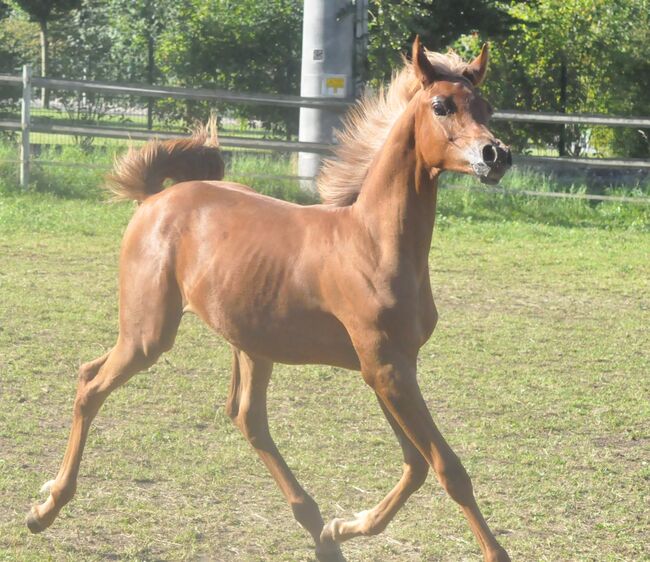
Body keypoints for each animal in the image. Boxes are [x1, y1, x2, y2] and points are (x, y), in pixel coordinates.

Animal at [25, 37, 512, 556]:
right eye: (441, 106)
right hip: (148, 333)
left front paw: (343, 526)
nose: (495, 154)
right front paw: (494, 553)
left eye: (487, 107)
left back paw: (318, 529)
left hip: (247, 342)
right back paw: (45, 509)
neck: (372, 241)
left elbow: (416, 464)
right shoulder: (385, 367)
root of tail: (156, 199)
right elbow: (447, 467)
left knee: (241, 416)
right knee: (92, 387)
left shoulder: (391, 366)